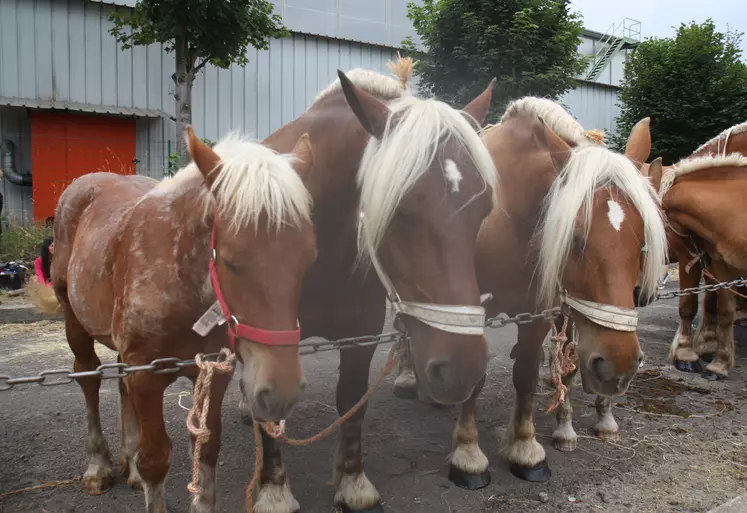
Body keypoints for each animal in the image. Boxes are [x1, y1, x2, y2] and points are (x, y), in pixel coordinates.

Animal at [46, 125, 316, 512]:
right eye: (230, 261)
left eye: (309, 259)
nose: (280, 393)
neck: (178, 277)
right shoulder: (145, 373)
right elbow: (156, 458)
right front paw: (136, 469)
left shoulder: (213, 370)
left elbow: (206, 451)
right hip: (74, 321)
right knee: (89, 378)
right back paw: (98, 466)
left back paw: (128, 465)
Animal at [240, 56, 500, 512]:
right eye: (398, 209)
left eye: (483, 208)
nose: (463, 370)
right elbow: (267, 411)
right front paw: (274, 491)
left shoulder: (360, 334)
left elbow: (351, 401)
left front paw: (353, 482)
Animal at [398, 95, 672, 480]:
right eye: (573, 236)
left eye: (644, 238)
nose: (618, 365)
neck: (509, 214)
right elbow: (476, 379)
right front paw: (468, 454)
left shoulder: (541, 311)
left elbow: (526, 374)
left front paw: (525, 447)